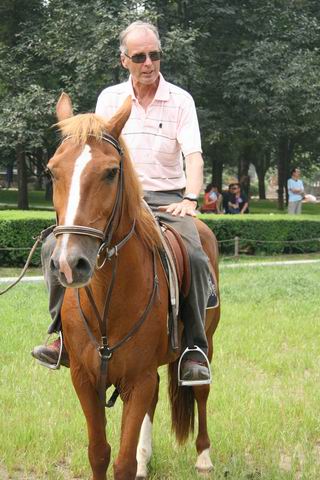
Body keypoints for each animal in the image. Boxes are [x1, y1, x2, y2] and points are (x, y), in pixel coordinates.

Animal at [47, 94, 220, 480]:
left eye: (111, 172)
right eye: (52, 171)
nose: (69, 263)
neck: (108, 300)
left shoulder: (138, 379)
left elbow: (121, 463)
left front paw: (136, 461)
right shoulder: (84, 379)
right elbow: (99, 453)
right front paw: (137, 459)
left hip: (206, 344)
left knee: (201, 390)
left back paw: (204, 456)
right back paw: (146, 458)